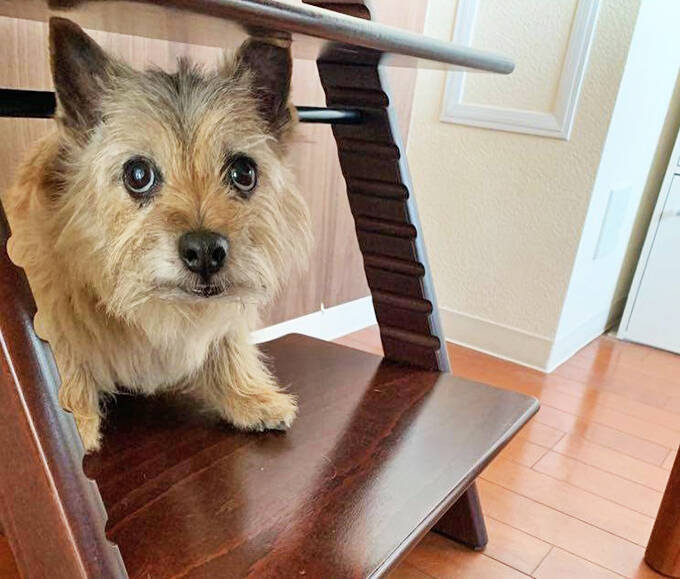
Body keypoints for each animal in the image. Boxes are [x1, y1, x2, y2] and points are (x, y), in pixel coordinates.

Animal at [3, 18, 312, 452]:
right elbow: (66, 355)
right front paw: (77, 423)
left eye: (244, 172)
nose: (206, 251)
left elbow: (228, 342)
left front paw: (248, 398)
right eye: (138, 174)